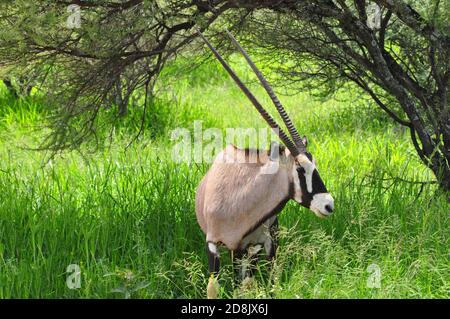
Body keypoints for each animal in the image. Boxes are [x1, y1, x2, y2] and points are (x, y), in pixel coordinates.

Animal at [197, 31, 334, 298]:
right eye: (300, 169)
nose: (328, 205)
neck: (238, 198)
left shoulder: (255, 244)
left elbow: (251, 285)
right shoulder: (214, 244)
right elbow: (214, 288)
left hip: (265, 243)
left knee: (267, 278)